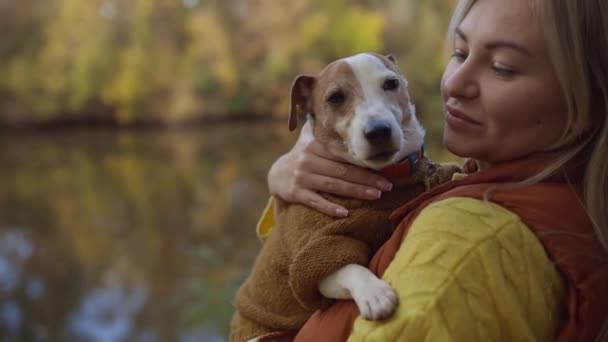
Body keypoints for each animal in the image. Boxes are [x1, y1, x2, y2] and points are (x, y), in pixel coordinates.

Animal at [230, 52, 458, 340]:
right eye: (335, 98)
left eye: (391, 83)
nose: (379, 131)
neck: (388, 177)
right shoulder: (314, 254)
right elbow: (347, 266)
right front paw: (375, 293)